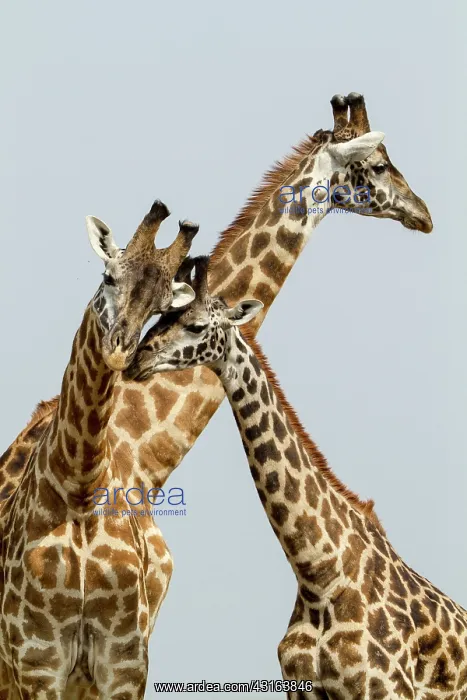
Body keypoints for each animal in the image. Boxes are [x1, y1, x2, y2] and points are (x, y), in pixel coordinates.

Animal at [0, 201, 198, 699]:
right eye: (108, 276)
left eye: (160, 306)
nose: (119, 351)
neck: (80, 483)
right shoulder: (38, 660)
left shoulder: (124, 661)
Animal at [127, 256, 467, 700]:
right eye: (159, 319)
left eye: (197, 326)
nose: (137, 360)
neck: (319, 576)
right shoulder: (302, 688)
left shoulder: (387, 688)